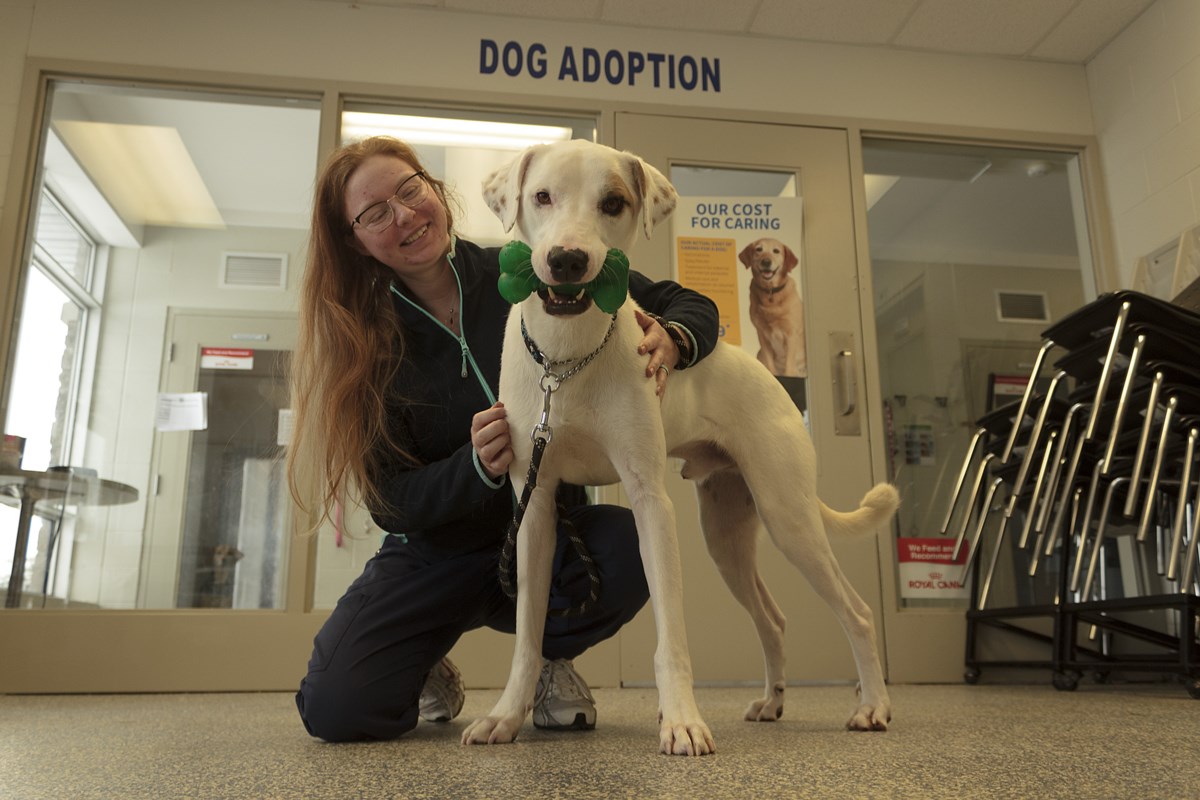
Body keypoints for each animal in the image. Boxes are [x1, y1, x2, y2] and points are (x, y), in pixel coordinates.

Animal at [463, 139, 897, 758]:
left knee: (856, 613)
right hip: (725, 537)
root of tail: (769, 377)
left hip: (789, 520)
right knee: (773, 619)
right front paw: (505, 715)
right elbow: (528, 631)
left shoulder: (650, 502)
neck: (566, 362)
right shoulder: (536, 506)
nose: (568, 260)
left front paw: (682, 721)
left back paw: (873, 706)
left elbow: (671, 634)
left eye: (613, 202)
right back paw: (772, 703)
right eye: (541, 196)